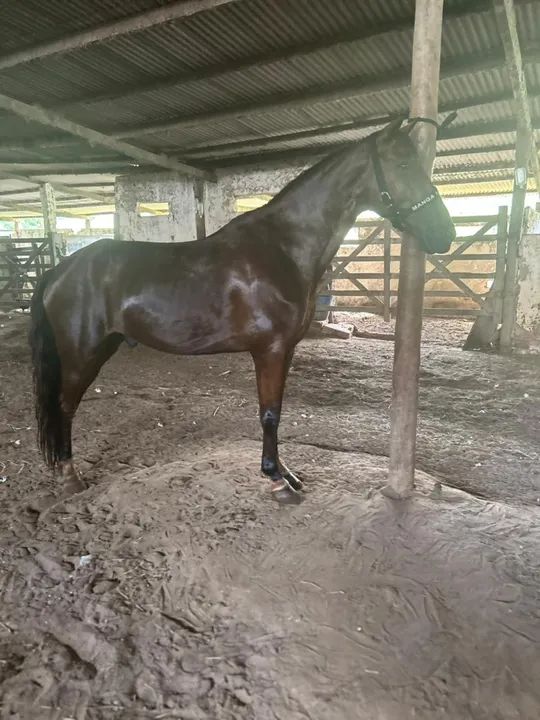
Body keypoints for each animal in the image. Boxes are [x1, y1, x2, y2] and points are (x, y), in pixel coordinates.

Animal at [29, 118, 456, 505]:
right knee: (64, 406)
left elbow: (275, 409)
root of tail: (59, 270)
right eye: (403, 163)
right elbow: (269, 415)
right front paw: (277, 481)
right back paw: (70, 478)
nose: (445, 234)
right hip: (83, 354)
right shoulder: (270, 350)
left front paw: (286, 473)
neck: (280, 249)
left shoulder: (284, 350)